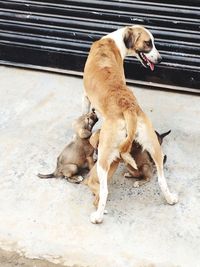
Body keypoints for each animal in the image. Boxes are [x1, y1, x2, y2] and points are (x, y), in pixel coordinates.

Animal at [83, 25, 178, 224]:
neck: (112, 41)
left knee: (104, 191)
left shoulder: (85, 97)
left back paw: (98, 217)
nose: (160, 59)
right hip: (154, 147)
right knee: (160, 178)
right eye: (149, 43)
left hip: (104, 160)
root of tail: (129, 108)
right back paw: (170, 198)